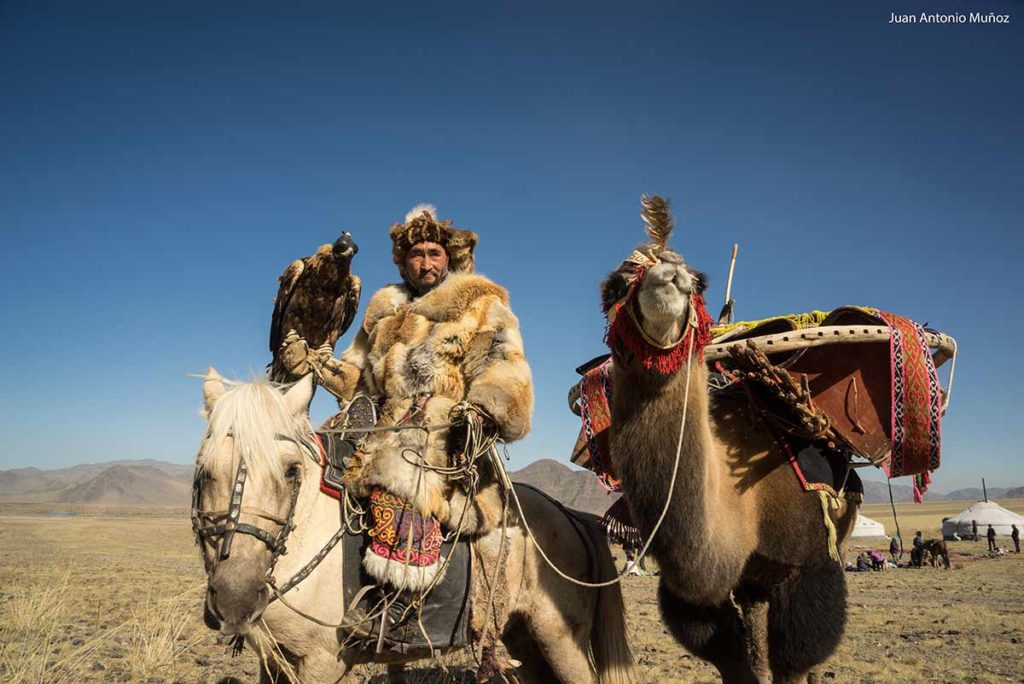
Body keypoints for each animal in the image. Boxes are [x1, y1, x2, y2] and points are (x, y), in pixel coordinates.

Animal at [192, 374, 630, 684]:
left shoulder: (322, 662)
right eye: (204, 470)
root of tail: (569, 515)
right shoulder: (273, 660)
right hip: (523, 633)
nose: (235, 599)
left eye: (291, 470)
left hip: (561, 640)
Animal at [598, 196, 860, 679]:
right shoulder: (692, 596)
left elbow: (795, 662)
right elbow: (734, 661)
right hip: (755, 582)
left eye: (699, 281)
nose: (670, 272)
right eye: (615, 286)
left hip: (838, 537)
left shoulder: (808, 566)